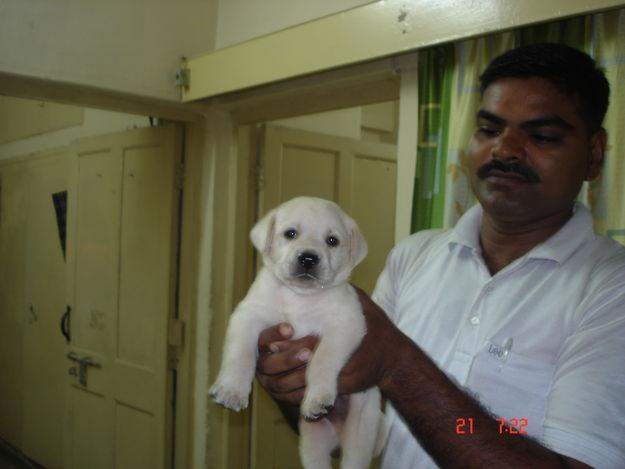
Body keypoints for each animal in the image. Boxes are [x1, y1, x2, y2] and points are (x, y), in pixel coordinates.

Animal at [210, 196, 386, 466]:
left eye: (332, 240)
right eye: (290, 233)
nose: (308, 258)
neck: (300, 297)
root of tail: (337, 438)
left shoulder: (347, 324)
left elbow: (322, 360)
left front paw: (317, 397)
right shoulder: (247, 316)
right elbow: (239, 355)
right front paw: (231, 390)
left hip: (360, 436)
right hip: (313, 444)